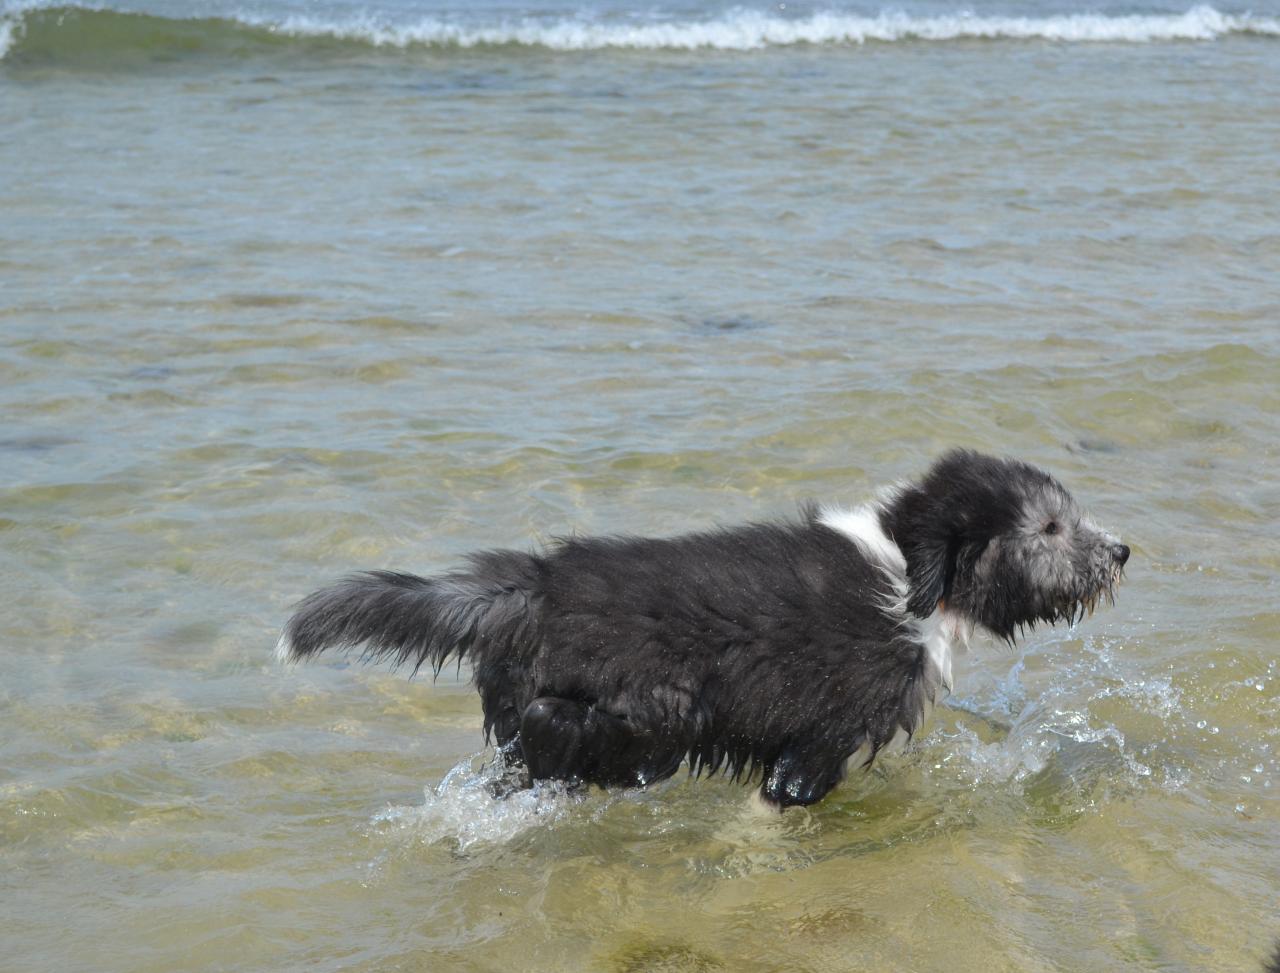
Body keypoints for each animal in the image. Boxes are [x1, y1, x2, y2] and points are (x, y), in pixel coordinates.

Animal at [280, 453, 1131, 809]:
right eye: (1050, 526)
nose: (1121, 550)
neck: (912, 567)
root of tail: (538, 586)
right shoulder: (826, 730)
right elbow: (789, 792)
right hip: (657, 710)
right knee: (562, 730)